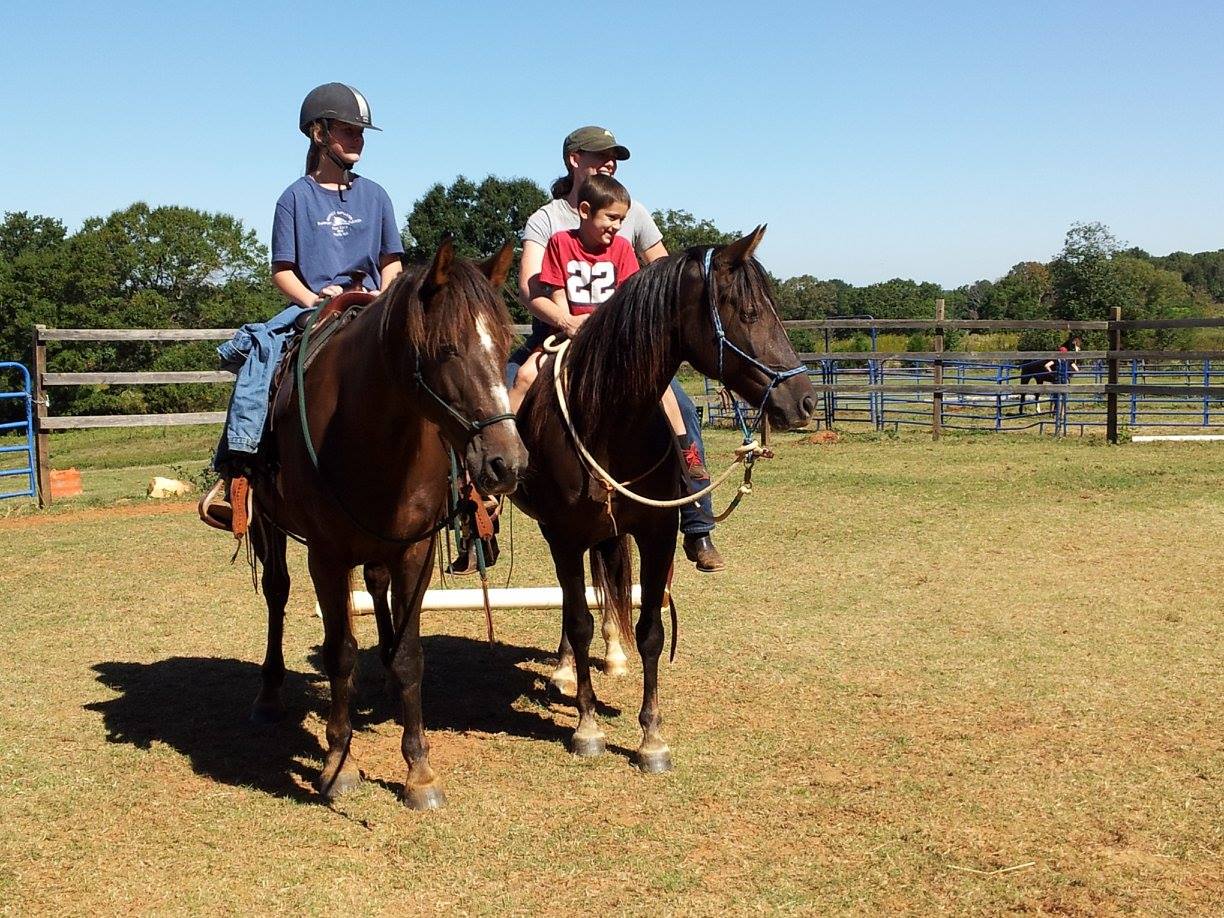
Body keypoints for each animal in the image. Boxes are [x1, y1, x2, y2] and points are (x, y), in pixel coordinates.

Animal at [248, 241, 526, 807]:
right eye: (446, 349)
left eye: (505, 344)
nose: (506, 463)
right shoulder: (326, 556)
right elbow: (339, 653)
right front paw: (338, 762)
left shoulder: (414, 551)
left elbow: (410, 656)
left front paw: (419, 770)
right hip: (270, 527)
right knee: (277, 593)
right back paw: (269, 693)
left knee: (376, 589)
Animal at [511, 228, 817, 768]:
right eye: (748, 313)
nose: (804, 400)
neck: (606, 421)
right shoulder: (563, 535)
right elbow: (578, 619)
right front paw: (587, 728)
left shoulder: (656, 534)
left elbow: (650, 630)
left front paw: (651, 737)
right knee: (574, 604)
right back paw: (568, 670)